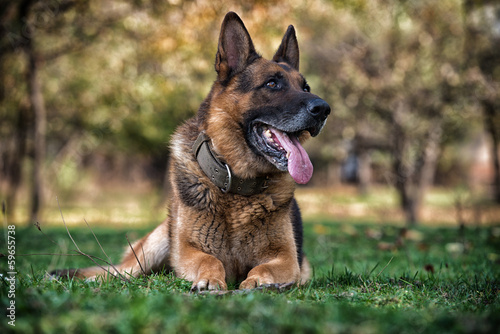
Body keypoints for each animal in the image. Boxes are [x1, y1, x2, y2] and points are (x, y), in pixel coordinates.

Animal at [54, 11, 330, 290]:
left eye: (305, 88)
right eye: (272, 84)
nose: (324, 109)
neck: (237, 185)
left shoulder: (288, 259)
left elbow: (265, 268)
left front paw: (258, 282)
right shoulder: (188, 250)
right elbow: (210, 260)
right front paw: (210, 280)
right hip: (151, 248)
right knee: (118, 271)